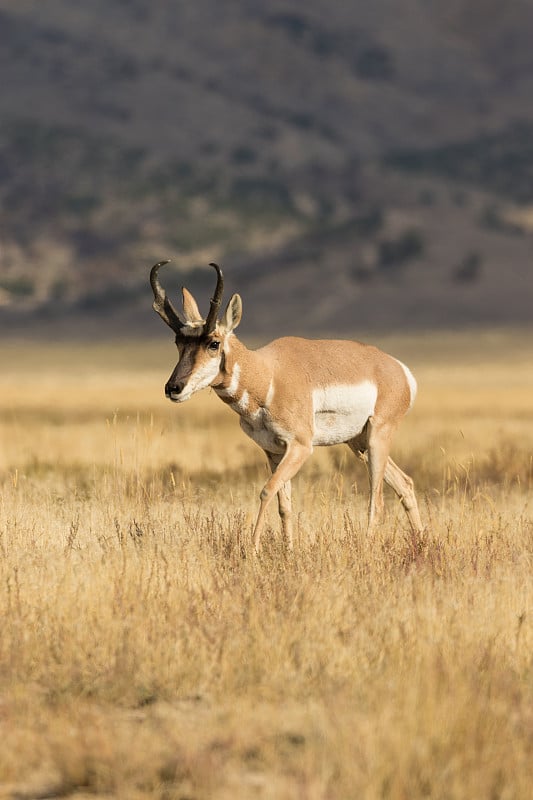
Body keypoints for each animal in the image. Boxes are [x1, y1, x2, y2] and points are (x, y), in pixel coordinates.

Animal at [151, 260, 424, 552]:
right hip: (358, 443)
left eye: (213, 343)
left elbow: (266, 490)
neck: (268, 374)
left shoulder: (300, 447)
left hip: (377, 437)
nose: (173, 388)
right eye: (179, 342)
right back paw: (422, 542)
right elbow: (284, 504)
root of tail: (398, 368)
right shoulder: (274, 451)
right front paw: (289, 549)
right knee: (404, 484)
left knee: (377, 497)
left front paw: (253, 548)